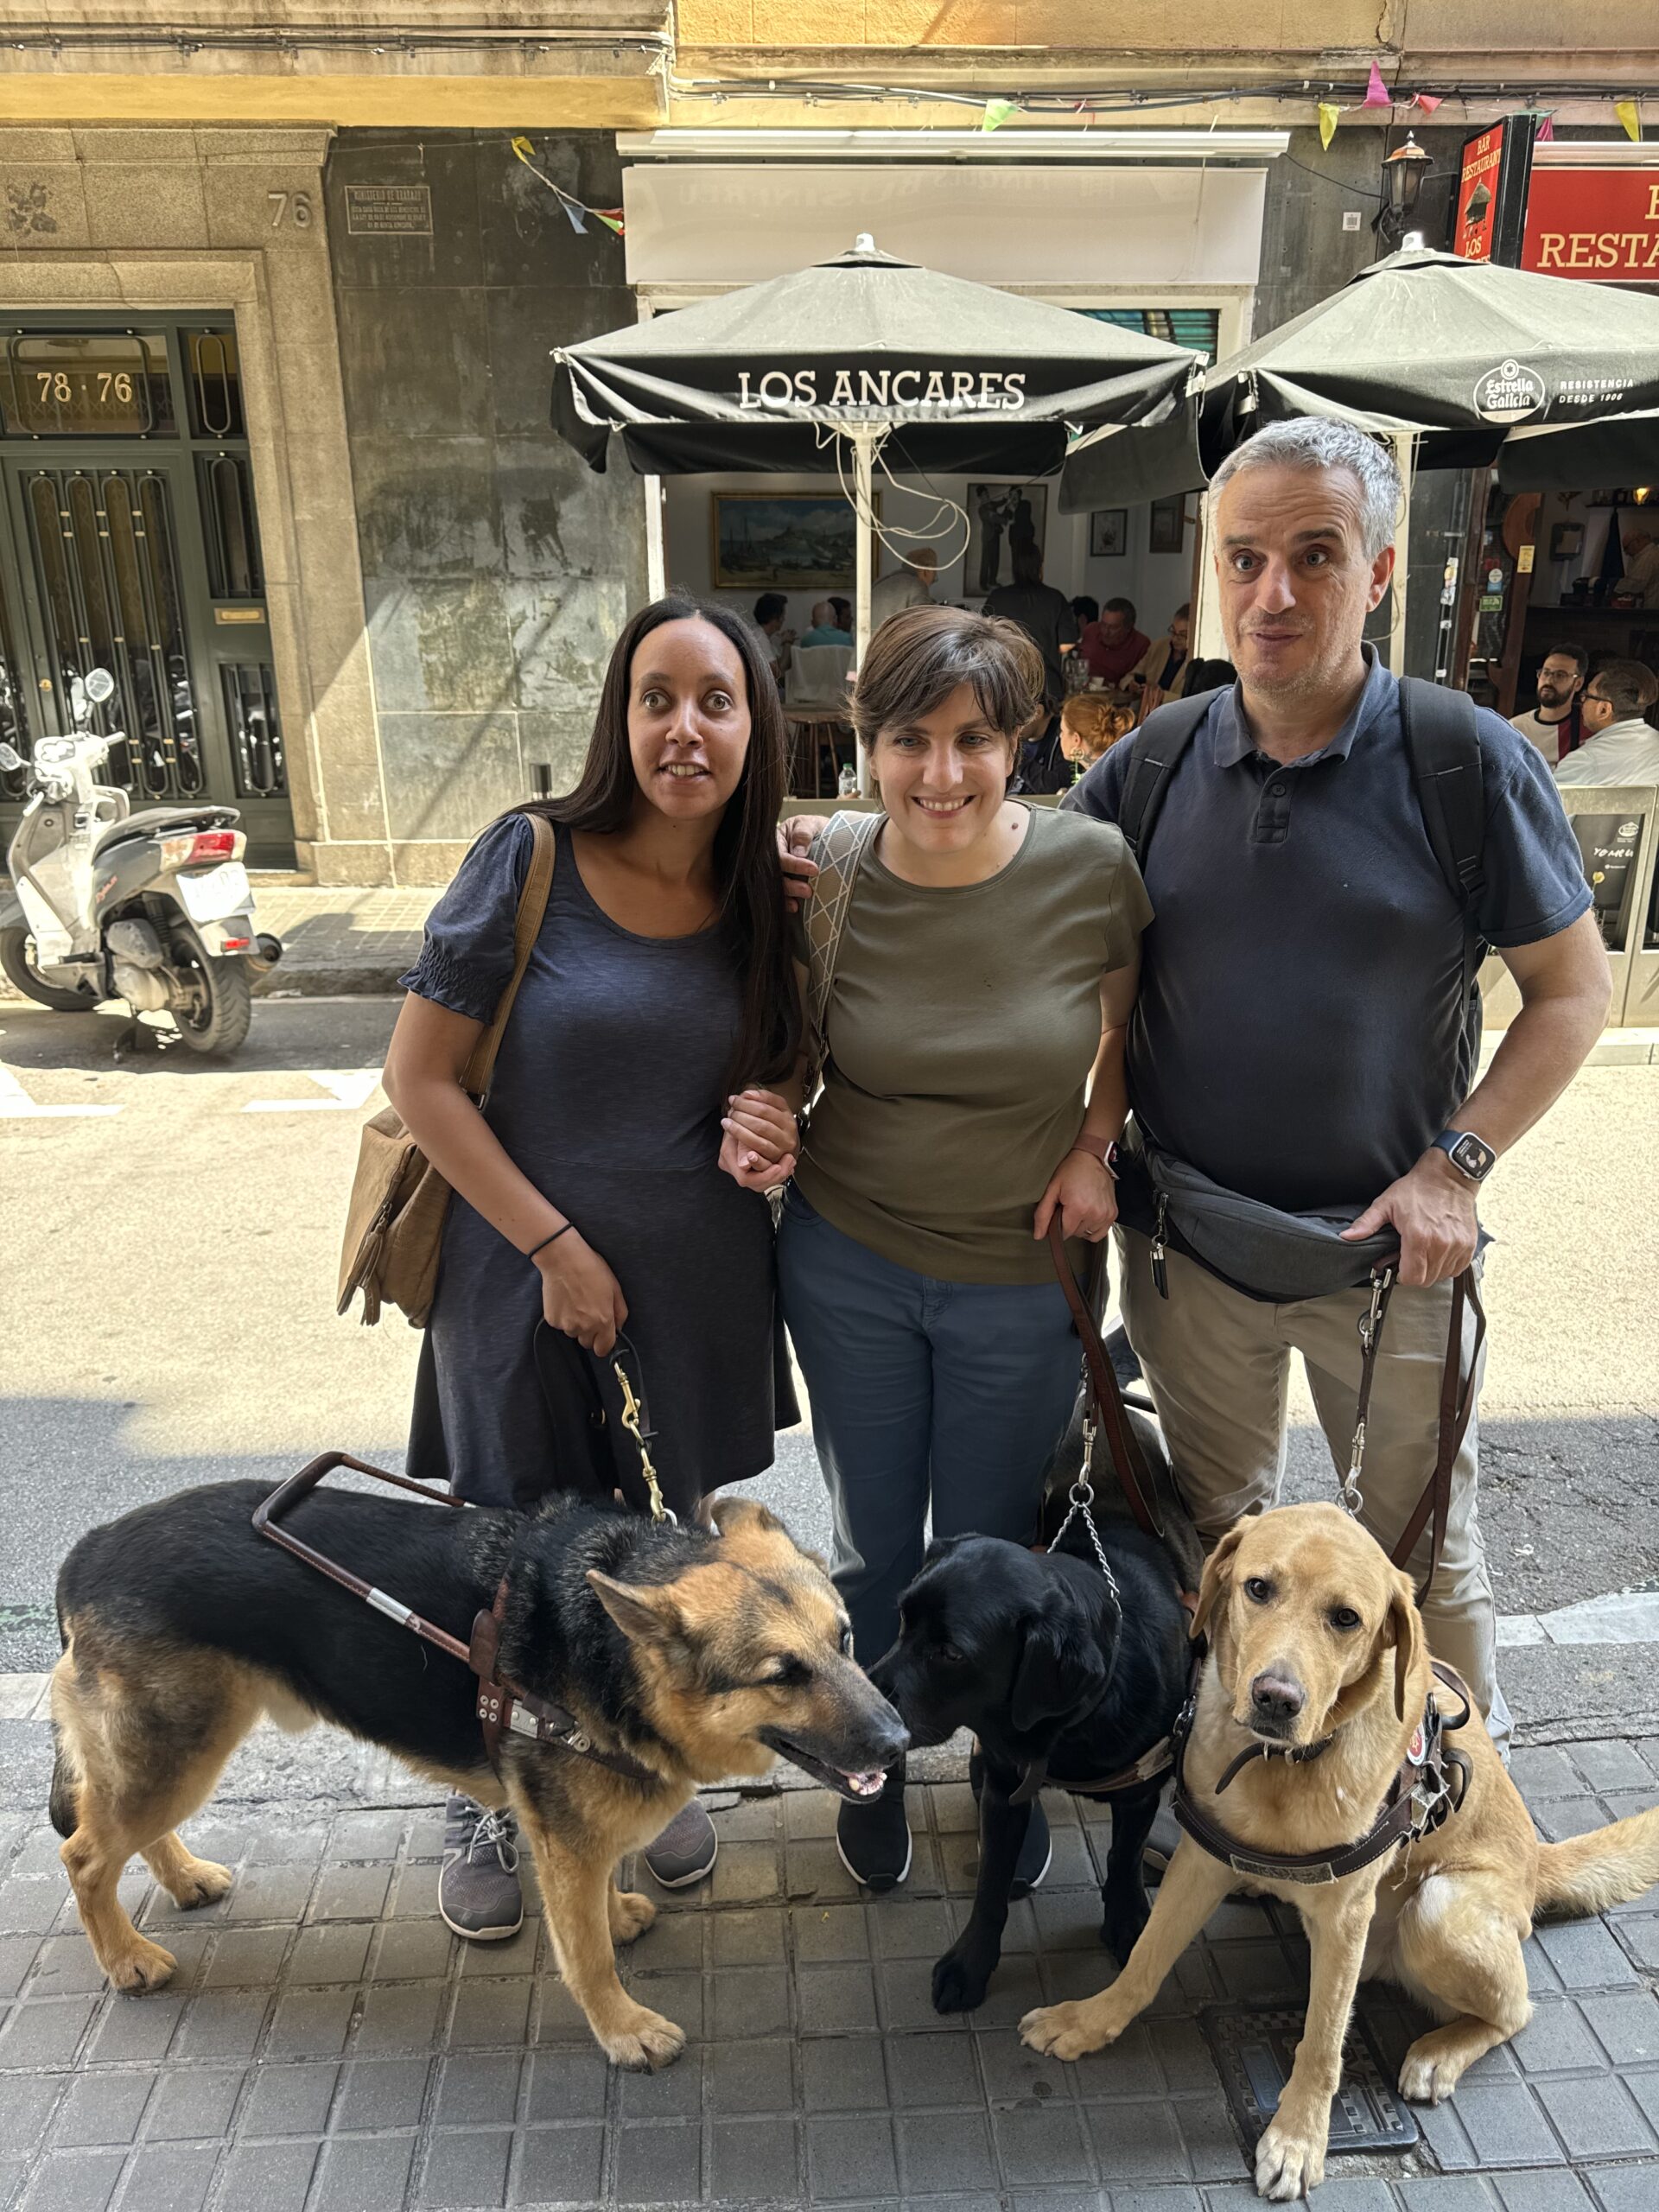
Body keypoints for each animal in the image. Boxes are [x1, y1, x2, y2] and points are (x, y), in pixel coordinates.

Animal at [52, 1486, 902, 2070]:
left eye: (845, 1639)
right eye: (783, 1675)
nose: (897, 1744)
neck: (611, 1654)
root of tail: (87, 1549)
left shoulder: (575, 1838)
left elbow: (597, 1899)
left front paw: (615, 1913)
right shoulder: (565, 1839)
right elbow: (586, 1953)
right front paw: (621, 2028)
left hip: (177, 1754)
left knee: (130, 1834)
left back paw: (182, 1879)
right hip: (179, 1755)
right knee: (86, 1855)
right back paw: (125, 1957)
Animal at [871, 1530, 1194, 2017]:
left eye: (951, 1653)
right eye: (903, 1619)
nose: (867, 1700)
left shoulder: (1142, 1786)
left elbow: (1125, 1858)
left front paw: (1127, 1921)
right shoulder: (1004, 1790)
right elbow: (990, 1886)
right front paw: (969, 1966)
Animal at [1026, 1503, 1659, 2194]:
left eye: (1346, 1619)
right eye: (1257, 1588)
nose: (1275, 1698)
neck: (1281, 1767)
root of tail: (1536, 1862)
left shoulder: (1346, 1915)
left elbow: (1323, 2040)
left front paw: (1299, 2138)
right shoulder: (1200, 1861)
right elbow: (1144, 1959)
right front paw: (1089, 2021)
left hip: (1439, 1910)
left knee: (1516, 2012)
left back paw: (1438, 2053)